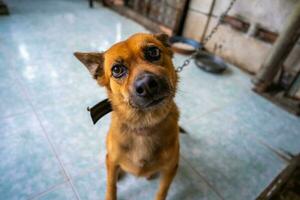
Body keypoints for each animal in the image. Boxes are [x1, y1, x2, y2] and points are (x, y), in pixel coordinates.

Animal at [74, 33, 179, 200]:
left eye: (153, 52)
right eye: (117, 69)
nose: (147, 84)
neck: (144, 125)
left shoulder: (171, 168)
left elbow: (162, 191)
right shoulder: (112, 161)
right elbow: (111, 186)